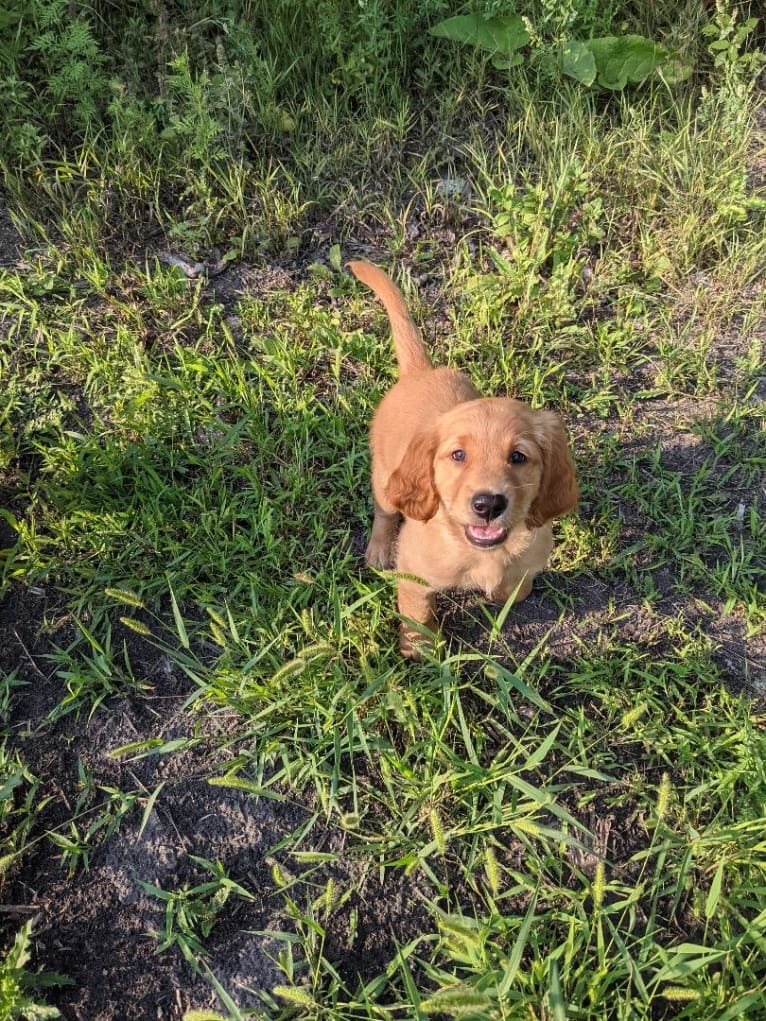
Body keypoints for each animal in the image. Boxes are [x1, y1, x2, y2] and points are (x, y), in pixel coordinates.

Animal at [347, 255, 576, 653]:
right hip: (385, 477)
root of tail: (420, 371)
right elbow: (417, 616)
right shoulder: (414, 576)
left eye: (519, 457)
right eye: (457, 455)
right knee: (384, 511)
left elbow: (515, 589)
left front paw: (501, 594)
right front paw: (420, 650)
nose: (488, 505)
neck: (482, 552)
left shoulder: (528, 563)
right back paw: (378, 550)